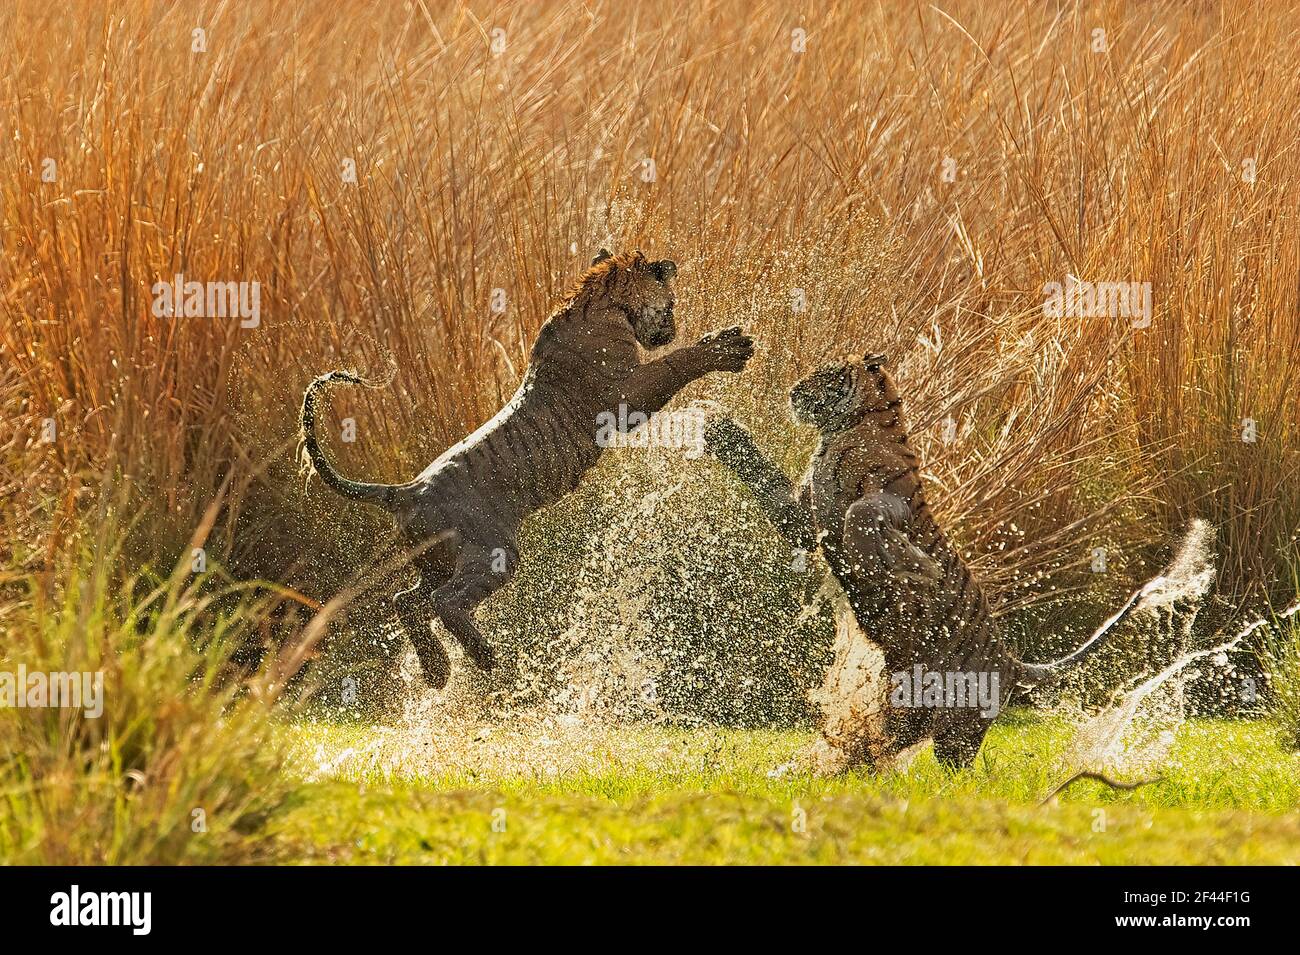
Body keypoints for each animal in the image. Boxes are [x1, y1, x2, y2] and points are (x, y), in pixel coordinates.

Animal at [299, 250, 759, 691]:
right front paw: (729, 346)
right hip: (491, 552)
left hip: (436, 562)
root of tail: (405, 489)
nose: (673, 327)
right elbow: (675, 364)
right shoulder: (625, 397)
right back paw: (483, 657)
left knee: (405, 601)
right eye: (671, 304)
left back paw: (436, 671)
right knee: (443, 602)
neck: (597, 300)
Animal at [707, 353, 1164, 769]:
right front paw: (717, 427)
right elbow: (765, 477)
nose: (793, 390)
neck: (847, 428)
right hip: (908, 707)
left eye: (828, 373)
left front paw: (912, 567)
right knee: (881, 743)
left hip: (957, 726)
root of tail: (1012, 661)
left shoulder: (884, 506)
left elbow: (860, 519)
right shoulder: (803, 519)